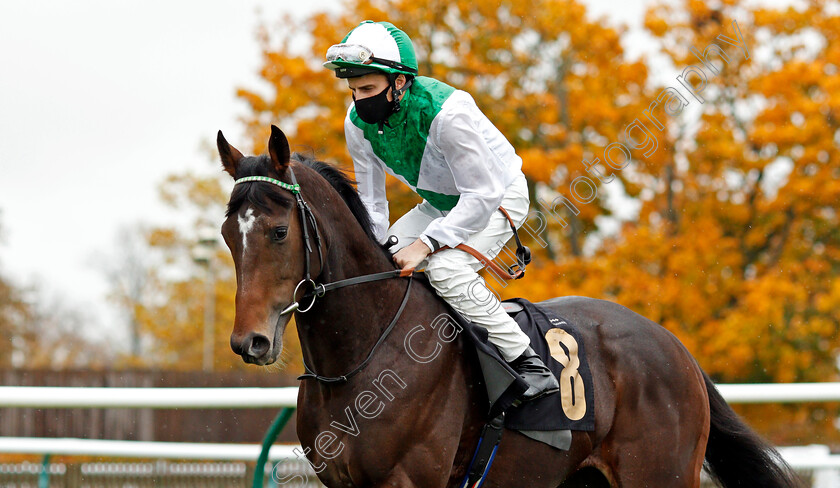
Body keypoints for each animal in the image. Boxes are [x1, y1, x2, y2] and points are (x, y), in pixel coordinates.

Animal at [218, 127, 800, 488]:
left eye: (278, 231)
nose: (250, 342)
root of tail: (676, 347)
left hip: (659, 473)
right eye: (227, 234)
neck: (361, 355)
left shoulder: (409, 478)